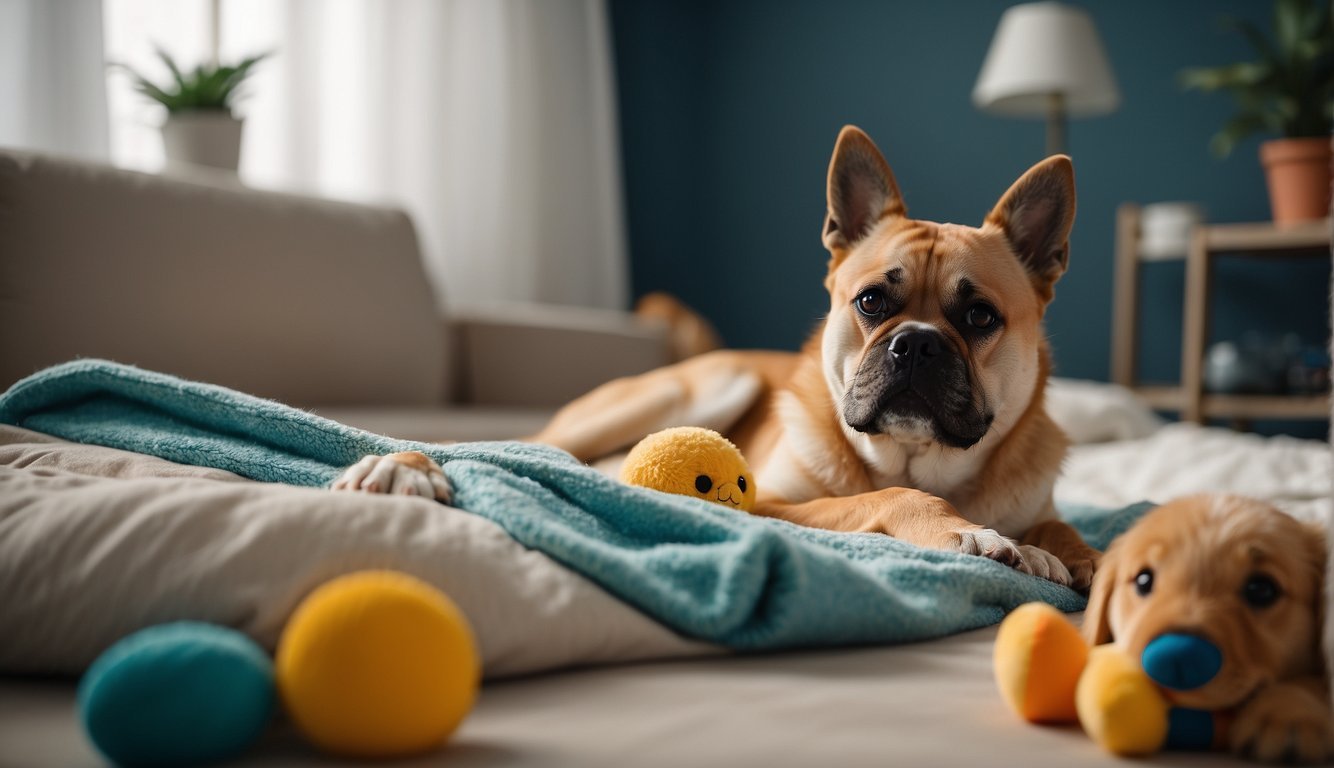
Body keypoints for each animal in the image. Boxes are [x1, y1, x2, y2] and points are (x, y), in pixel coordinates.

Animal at [338, 127, 1099, 586]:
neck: (926, 459)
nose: (914, 342)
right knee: (513, 447)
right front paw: (965, 533)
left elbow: (1059, 524)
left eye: (980, 318)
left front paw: (1086, 558)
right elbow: (886, 495)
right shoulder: (778, 505)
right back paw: (404, 466)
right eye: (872, 303)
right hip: (700, 386)